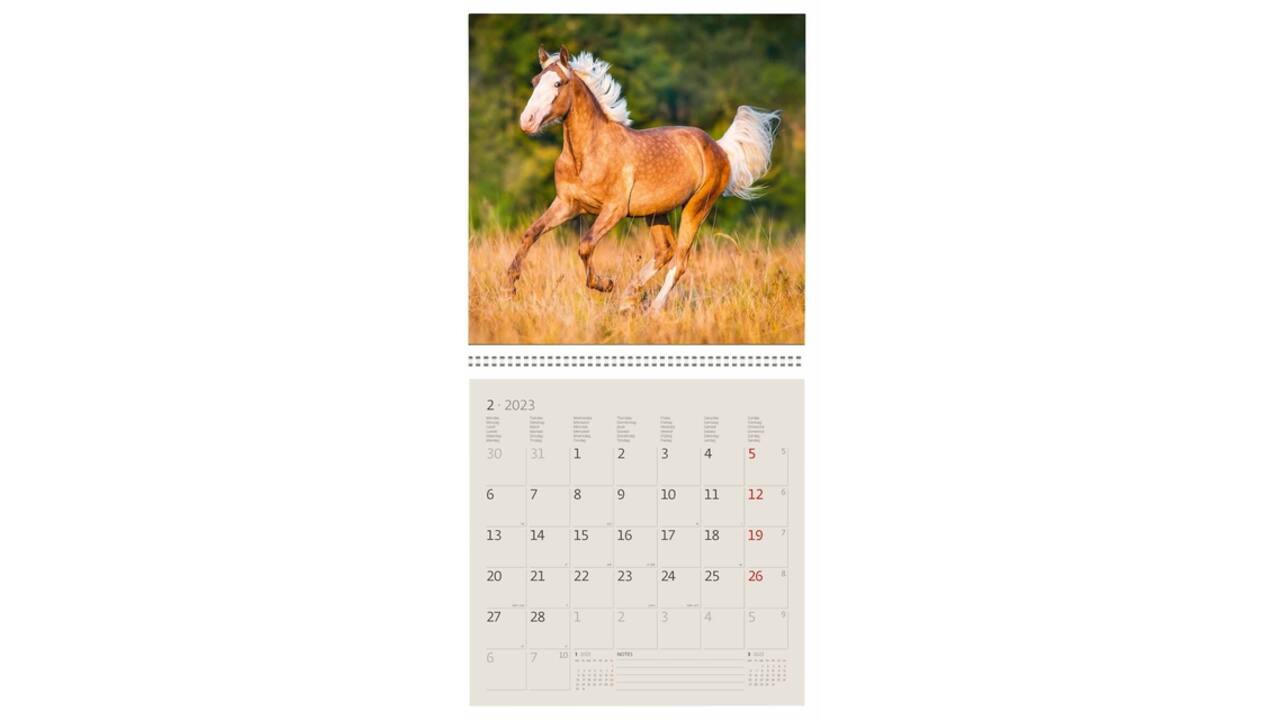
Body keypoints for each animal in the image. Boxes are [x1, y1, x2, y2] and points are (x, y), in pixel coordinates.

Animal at [508, 45, 781, 313]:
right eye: (534, 82)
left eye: (558, 83)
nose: (526, 121)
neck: (586, 155)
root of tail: (720, 148)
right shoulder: (567, 204)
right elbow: (531, 233)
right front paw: (510, 287)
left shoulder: (613, 209)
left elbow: (584, 245)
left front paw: (605, 284)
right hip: (656, 212)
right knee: (665, 251)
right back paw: (628, 298)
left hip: (697, 208)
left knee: (679, 261)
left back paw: (653, 309)